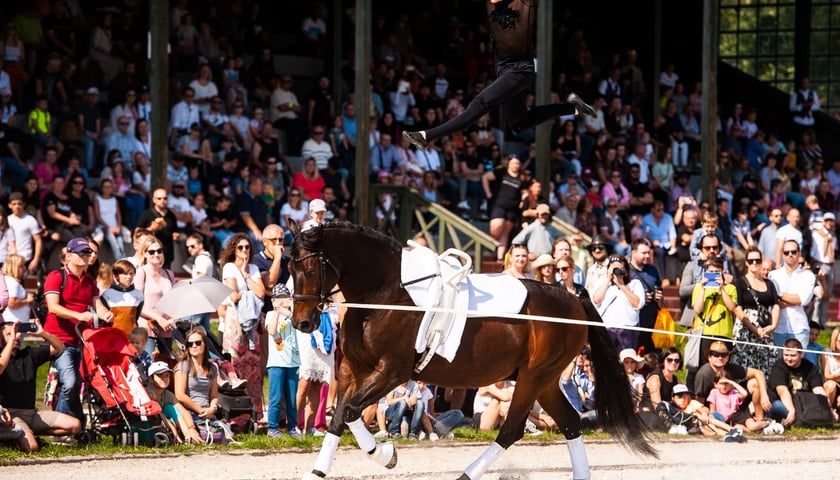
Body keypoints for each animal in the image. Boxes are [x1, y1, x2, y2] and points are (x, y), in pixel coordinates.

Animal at [288, 223, 656, 480]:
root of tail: (573, 298)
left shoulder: (391, 371)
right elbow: (339, 415)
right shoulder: (353, 370)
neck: (383, 295)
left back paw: (466, 475)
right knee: (568, 423)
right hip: (546, 380)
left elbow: (350, 411)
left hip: (534, 377)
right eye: (289, 271)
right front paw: (319, 471)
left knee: (512, 429)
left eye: (310, 270)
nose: (302, 323)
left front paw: (387, 454)